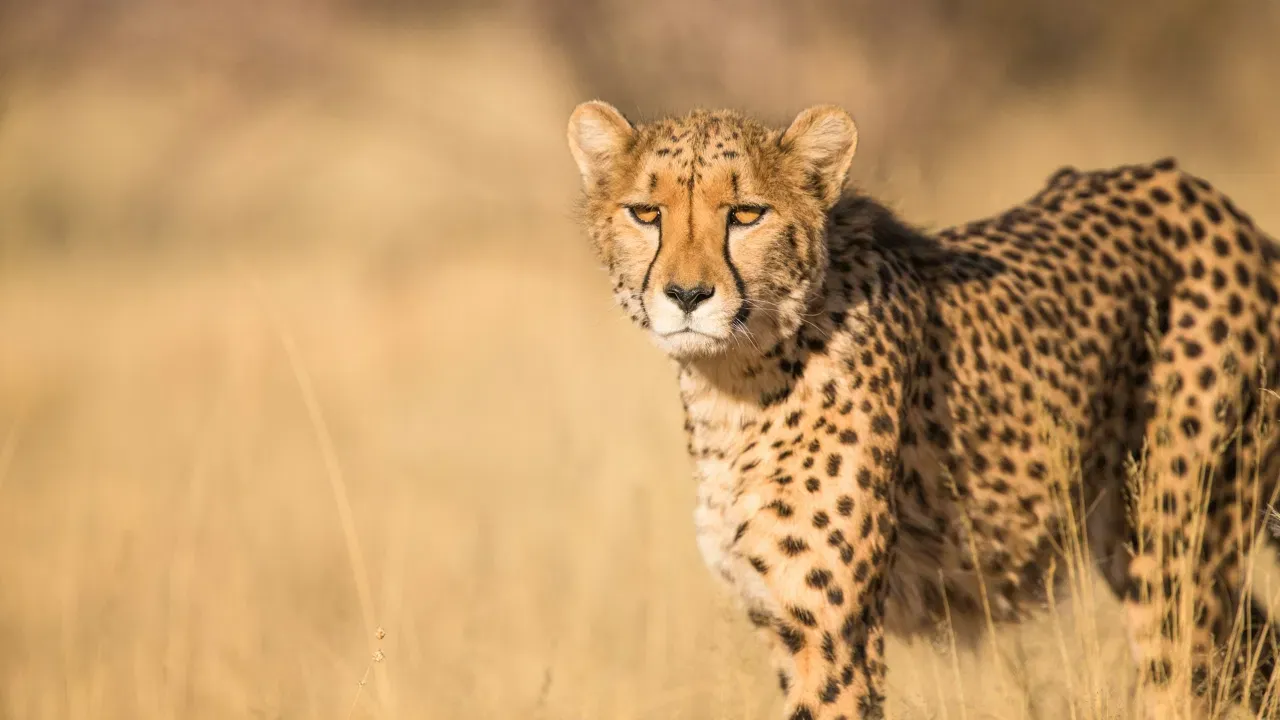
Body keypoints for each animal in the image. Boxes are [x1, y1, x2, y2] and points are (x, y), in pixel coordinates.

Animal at [565, 100, 1280, 720]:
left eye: (745, 214)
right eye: (646, 212)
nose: (687, 295)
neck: (734, 382)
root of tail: (1209, 198)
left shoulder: (833, 633)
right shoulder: (781, 620)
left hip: (1176, 556)